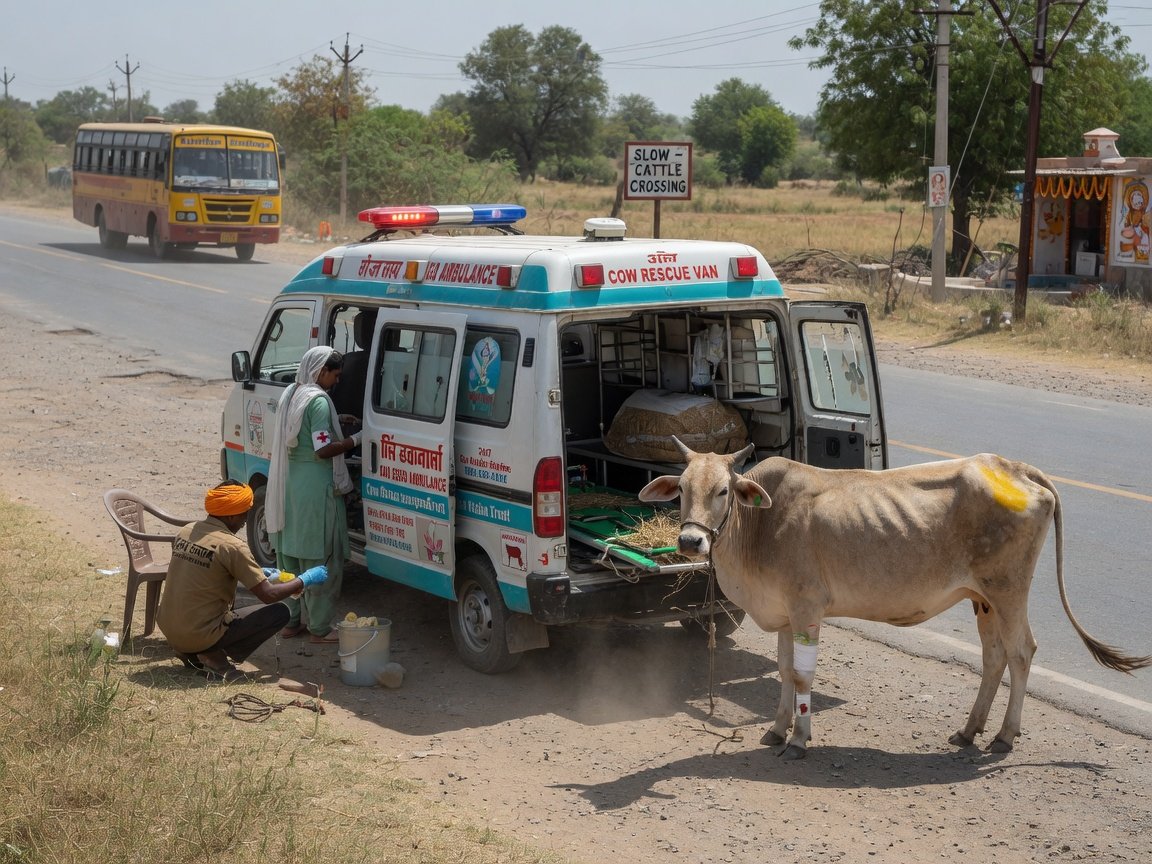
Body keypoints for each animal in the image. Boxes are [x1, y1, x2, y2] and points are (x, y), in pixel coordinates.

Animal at [639, 440, 1151, 760]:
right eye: (681, 489)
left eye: (723, 490)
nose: (689, 542)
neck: (762, 521)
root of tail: (1013, 466)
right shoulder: (785, 616)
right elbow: (784, 673)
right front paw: (776, 729)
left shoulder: (807, 609)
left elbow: (802, 678)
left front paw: (800, 740)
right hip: (983, 599)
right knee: (994, 657)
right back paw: (970, 730)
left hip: (1008, 591)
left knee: (1022, 652)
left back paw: (1004, 736)